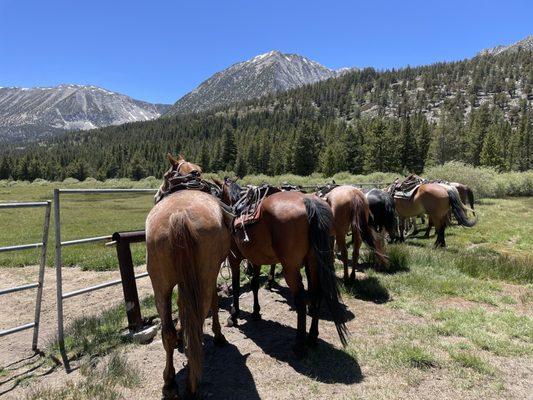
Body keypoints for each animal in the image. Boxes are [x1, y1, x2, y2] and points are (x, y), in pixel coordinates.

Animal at [145, 155, 231, 398]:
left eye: (165, 175)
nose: (156, 195)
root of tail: (180, 215)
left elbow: (182, 307)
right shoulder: (210, 276)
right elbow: (212, 302)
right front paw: (218, 335)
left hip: (160, 285)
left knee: (167, 332)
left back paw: (170, 382)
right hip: (201, 279)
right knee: (198, 320)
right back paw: (192, 384)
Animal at [217, 178, 350, 356]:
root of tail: (309, 202)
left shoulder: (234, 258)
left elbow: (237, 287)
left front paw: (234, 315)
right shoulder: (256, 259)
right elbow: (254, 285)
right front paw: (256, 312)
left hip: (291, 268)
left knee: (301, 299)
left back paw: (299, 345)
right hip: (315, 263)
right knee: (316, 294)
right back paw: (312, 337)